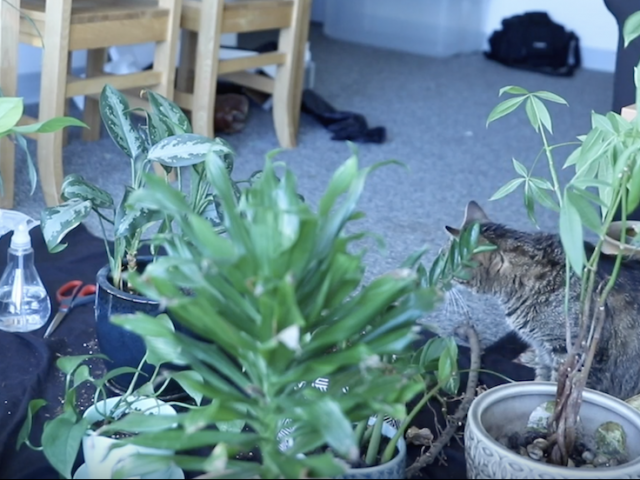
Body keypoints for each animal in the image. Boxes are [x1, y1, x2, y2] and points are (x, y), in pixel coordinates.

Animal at [444, 201, 640, 400]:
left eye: (446, 261)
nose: (438, 277)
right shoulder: (542, 350)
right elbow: (540, 382)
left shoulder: (570, 356)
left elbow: (556, 391)